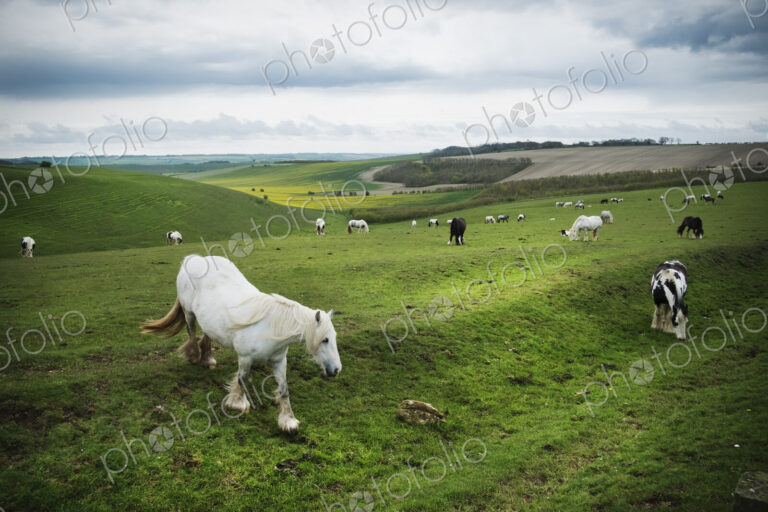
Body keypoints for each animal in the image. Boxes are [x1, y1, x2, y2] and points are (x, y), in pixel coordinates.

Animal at [140, 255, 341, 435]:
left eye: (334, 337)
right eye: (325, 339)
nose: (336, 370)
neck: (271, 327)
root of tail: (192, 258)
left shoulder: (279, 361)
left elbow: (284, 390)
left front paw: (288, 422)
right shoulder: (245, 357)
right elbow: (242, 379)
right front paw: (237, 403)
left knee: (206, 335)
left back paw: (208, 359)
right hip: (188, 313)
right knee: (192, 333)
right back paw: (194, 355)